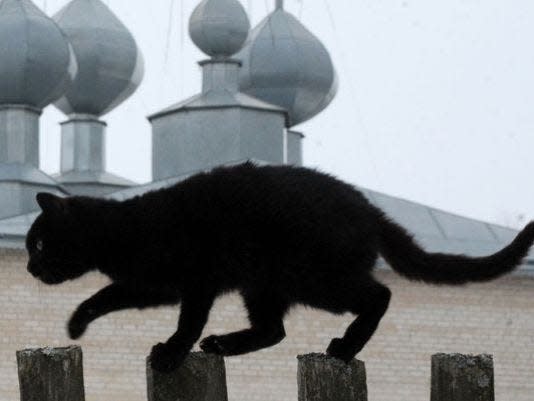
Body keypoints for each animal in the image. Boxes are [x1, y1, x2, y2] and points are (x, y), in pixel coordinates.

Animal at [26, 162, 534, 372]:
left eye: (39, 244)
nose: (30, 268)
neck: (124, 229)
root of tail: (369, 209)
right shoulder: (161, 285)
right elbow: (110, 295)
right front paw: (78, 324)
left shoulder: (190, 282)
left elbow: (181, 320)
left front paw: (170, 353)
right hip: (263, 285)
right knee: (274, 330)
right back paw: (224, 345)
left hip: (310, 278)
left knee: (379, 294)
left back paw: (344, 347)